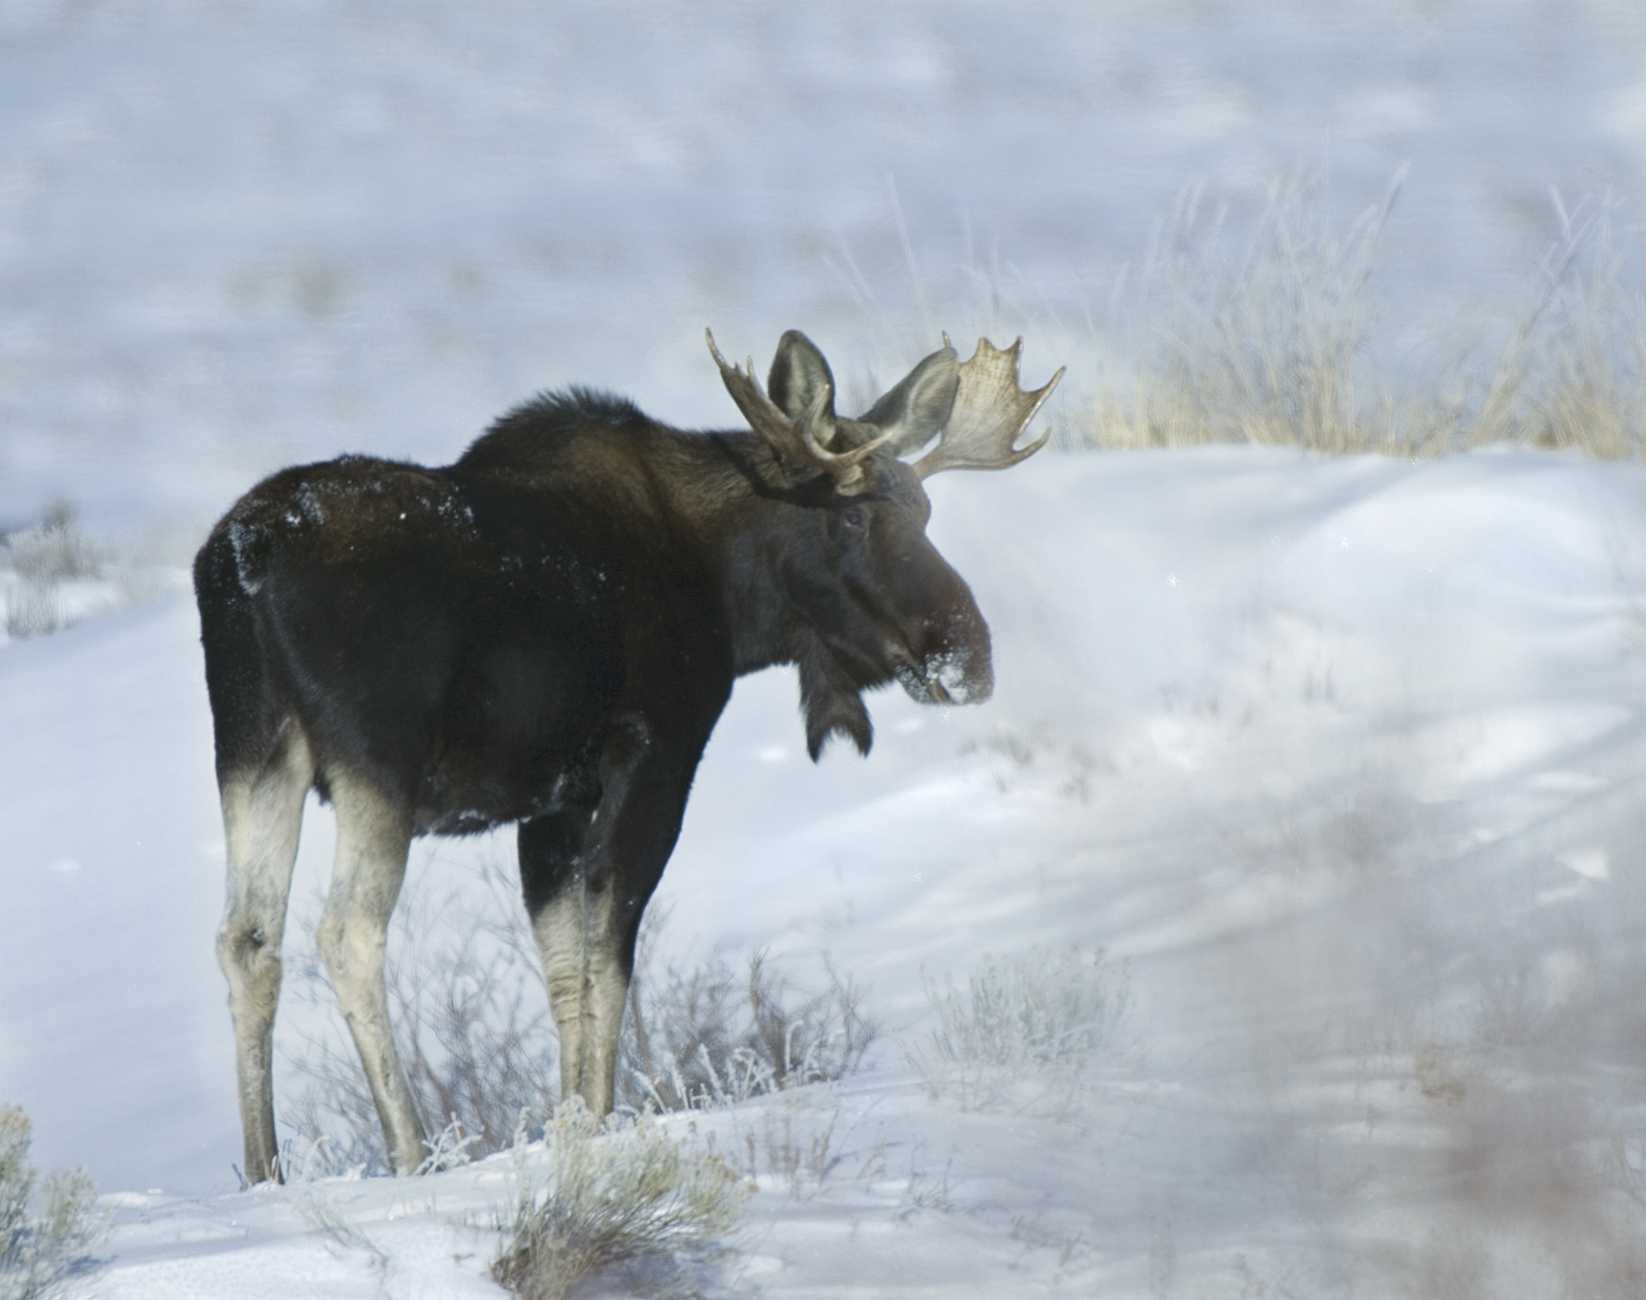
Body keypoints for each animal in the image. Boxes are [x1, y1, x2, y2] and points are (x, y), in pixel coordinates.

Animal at [194, 327, 1062, 1181]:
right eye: (850, 519)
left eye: (925, 509)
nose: (969, 655)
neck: (733, 599)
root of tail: (244, 556)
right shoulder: (656, 757)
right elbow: (610, 956)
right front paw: (600, 1120)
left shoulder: (553, 802)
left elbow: (565, 970)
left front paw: (567, 1122)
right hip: (377, 763)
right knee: (347, 933)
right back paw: (411, 1152)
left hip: (253, 750)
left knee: (247, 939)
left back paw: (265, 1170)